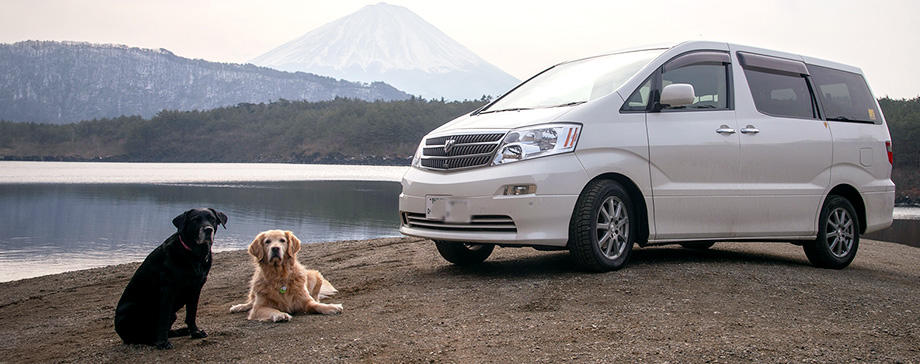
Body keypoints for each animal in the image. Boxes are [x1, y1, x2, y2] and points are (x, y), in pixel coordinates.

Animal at [113, 208, 228, 350]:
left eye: (212, 219)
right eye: (195, 220)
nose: (208, 229)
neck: (195, 255)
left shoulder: (196, 289)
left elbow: (191, 314)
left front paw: (195, 332)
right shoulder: (168, 290)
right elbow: (163, 318)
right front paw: (162, 342)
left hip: (173, 313)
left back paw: (181, 331)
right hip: (133, 310)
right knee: (139, 336)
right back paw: (155, 340)